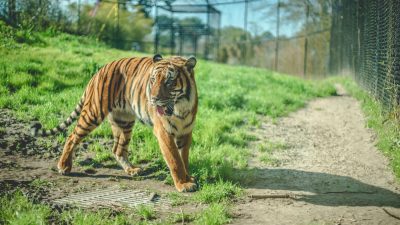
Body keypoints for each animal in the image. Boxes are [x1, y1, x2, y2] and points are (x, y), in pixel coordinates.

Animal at [31, 54, 198, 192]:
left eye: (169, 81)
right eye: (153, 80)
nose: (153, 99)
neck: (181, 107)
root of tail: (99, 71)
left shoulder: (186, 131)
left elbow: (183, 158)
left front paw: (188, 177)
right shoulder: (163, 131)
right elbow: (174, 159)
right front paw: (183, 184)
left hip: (124, 122)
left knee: (118, 149)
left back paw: (131, 170)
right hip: (93, 113)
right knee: (72, 136)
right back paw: (64, 166)